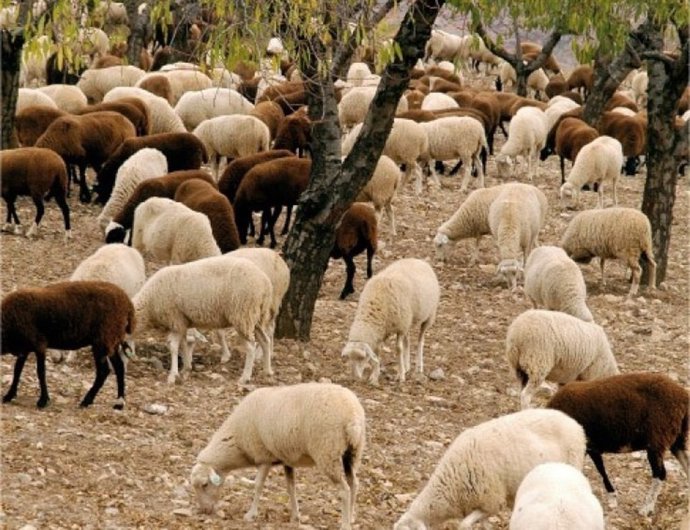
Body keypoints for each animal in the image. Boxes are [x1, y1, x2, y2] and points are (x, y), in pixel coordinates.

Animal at [1, 281, 135, 409]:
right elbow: (17, 370)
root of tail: (128, 304)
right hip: (112, 340)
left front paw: (43, 400)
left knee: (103, 371)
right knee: (119, 367)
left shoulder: (39, 344)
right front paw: (9, 395)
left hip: (103, 340)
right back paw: (119, 402)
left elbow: (40, 372)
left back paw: (87, 401)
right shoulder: (24, 348)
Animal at [132, 254, 272, 384]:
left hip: (242, 314)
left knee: (251, 347)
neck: (149, 304)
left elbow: (173, 346)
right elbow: (183, 344)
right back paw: (267, 371)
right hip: (256, 317)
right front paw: (186, 368)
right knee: (265, 340)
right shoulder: (182, 322)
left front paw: (173, 375)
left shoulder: (175, 320)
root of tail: (265, 283)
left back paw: (245, 377)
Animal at [190, 383, 365, 529]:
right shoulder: (287, 459)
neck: (237, 440)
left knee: (344, 490)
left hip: (328, 452)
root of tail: (353, 417)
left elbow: (258, 486)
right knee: (354, 483)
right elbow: (291, 487)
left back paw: (345, 524)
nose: (204, 510)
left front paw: (251, 515)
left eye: (204, 484)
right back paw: (351, 517)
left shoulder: (264, 457)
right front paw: (295, 516)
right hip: (352, 453)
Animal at [548, 372, 689, 515]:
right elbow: (599, 469)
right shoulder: (590, 448)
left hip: (657, 440)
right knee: (686, 464)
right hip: (677, 438)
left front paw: (612, 497)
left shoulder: (587, 446)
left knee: (660, 473)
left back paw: (646, 508)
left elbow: (599, 470)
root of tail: (683, 396)